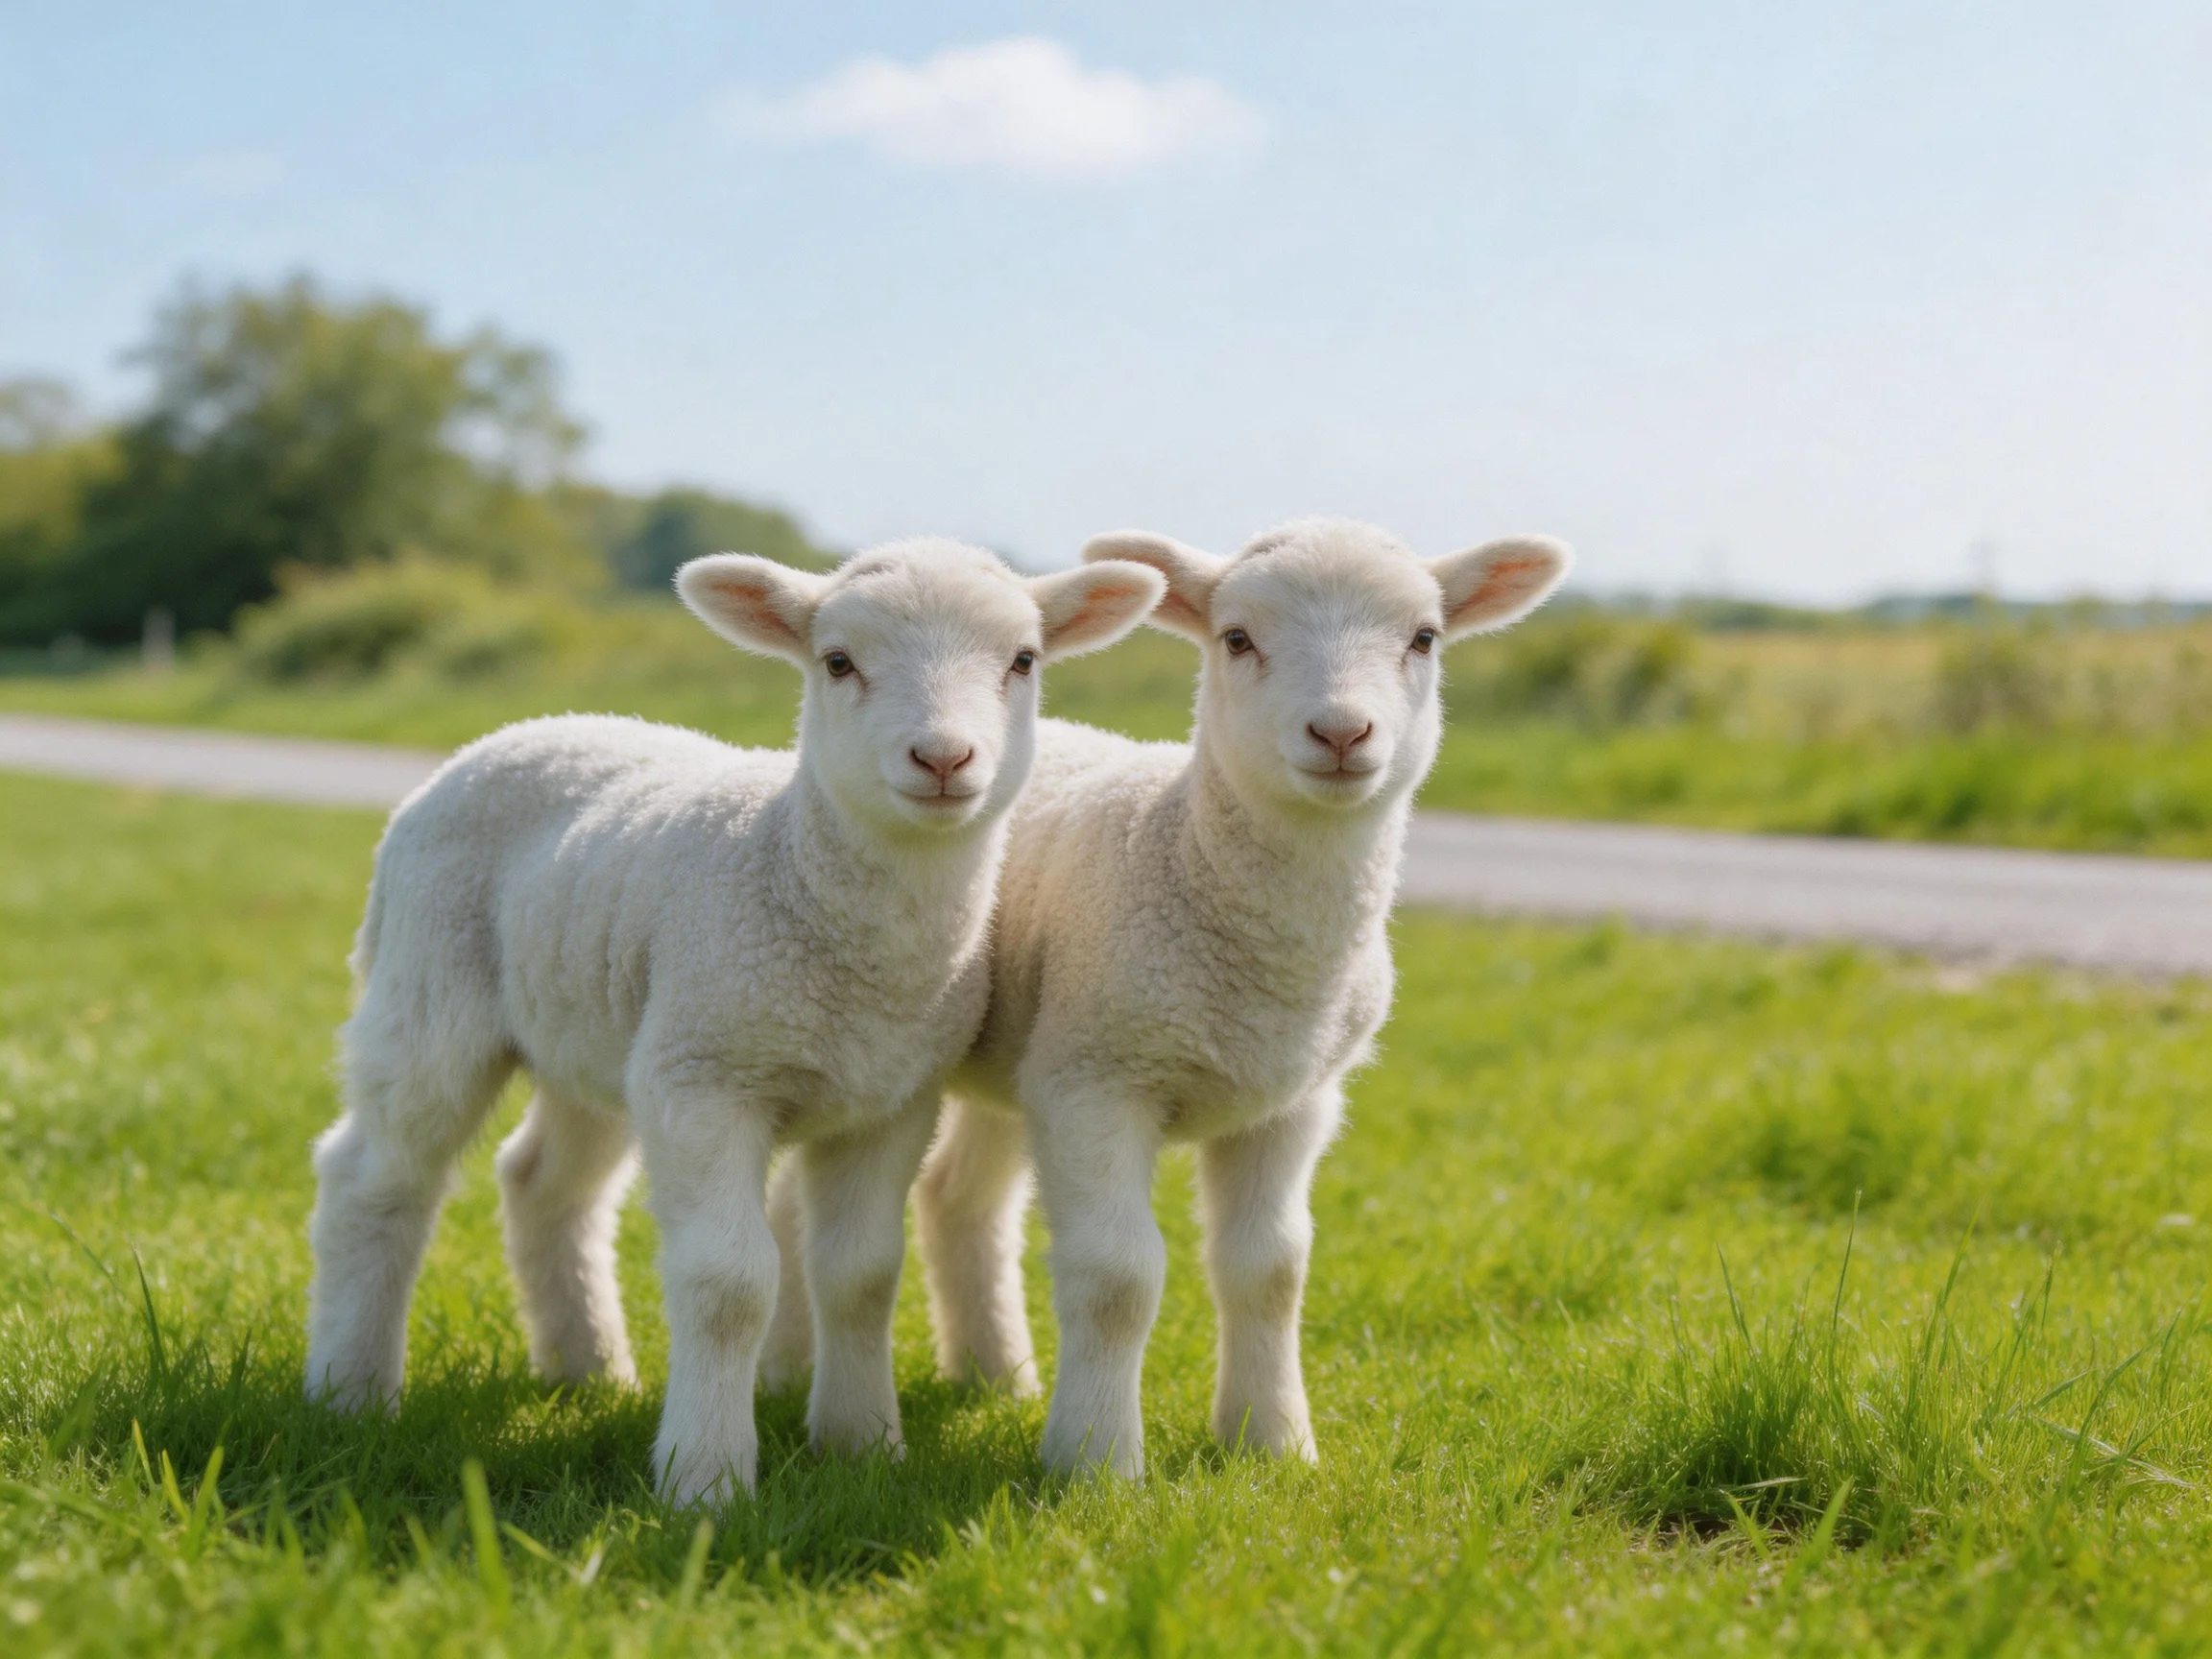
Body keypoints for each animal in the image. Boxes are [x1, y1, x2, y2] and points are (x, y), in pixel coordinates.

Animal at [301, 537, 1165, 1505]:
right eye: (838, 661)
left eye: (1024, 661)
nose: (943, 758)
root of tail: (520, 730)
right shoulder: (707, 1082)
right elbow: (729, 1283)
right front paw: (705, 1478)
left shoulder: (890, 1101)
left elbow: (861, 1275)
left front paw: (863, 1445)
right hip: (431, 989)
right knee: (375, 1176)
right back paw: (349, 1391)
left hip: (602, 1036)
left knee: (543, 1183)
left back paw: (589, 1370)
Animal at [904, 517, 1569, 1476]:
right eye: (1238, 639)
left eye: (1424, 638)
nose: (1341, 732)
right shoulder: (1096, 1082)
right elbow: (1117, 1276)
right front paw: (1095, 1462)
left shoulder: (1291, 1102)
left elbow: (1271, 1270)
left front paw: (1273, 1442)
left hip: (1016, 1062)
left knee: (959, 1197)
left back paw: (997, 1378)